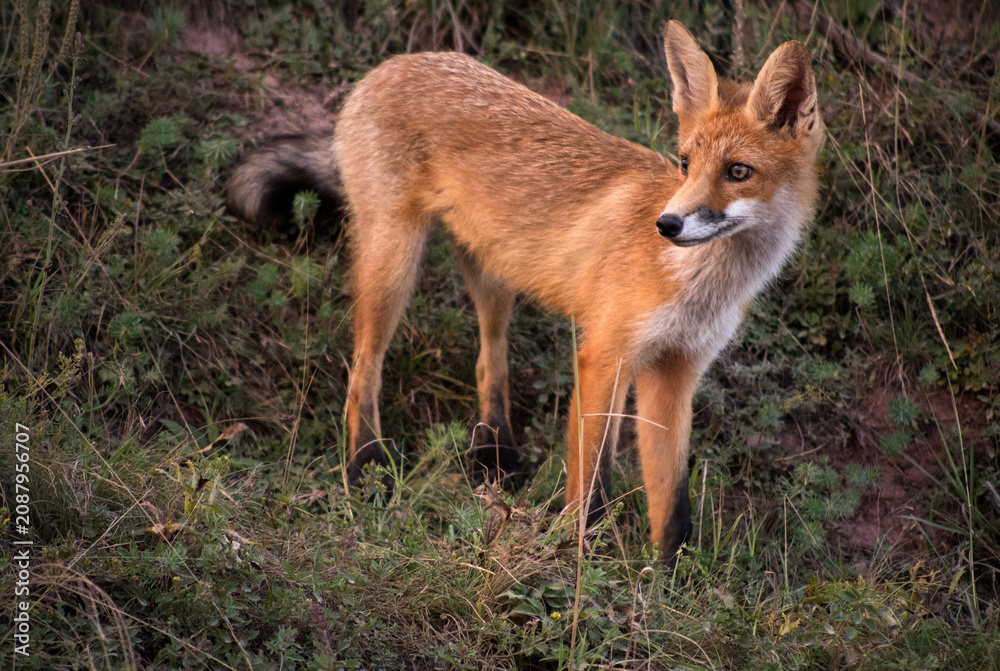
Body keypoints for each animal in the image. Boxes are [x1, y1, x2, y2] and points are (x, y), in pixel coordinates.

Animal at [227, 21, 823, 561]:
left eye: (738, 172)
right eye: (684, 163)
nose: (668, 224)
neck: (697, 286)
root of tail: (393, 63)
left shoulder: (675, 372)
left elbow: (672, 503)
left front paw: (670, 583)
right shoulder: (604, 358)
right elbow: (591, 487)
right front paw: (579, 561)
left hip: (493, 276)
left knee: (490, 361)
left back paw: (496, 454)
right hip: (393, 264)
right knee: (363, 369)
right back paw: (365, 469)